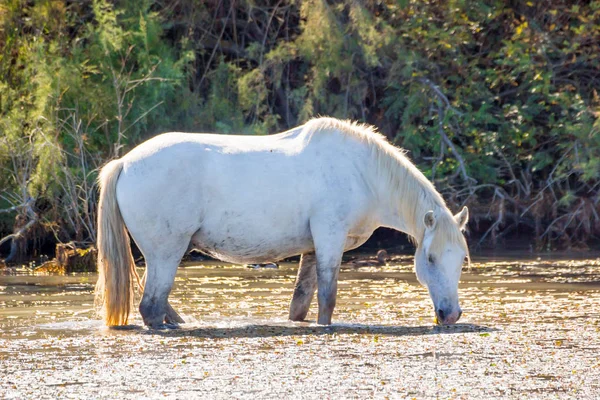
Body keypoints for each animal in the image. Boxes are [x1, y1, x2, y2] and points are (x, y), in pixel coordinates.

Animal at [95, 118, 468, 328]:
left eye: (461, 260)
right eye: (430, 258)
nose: (451, 315)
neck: (362, 171)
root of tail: (124, 163)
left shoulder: (313, 249)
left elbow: (300, 303)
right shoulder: (330, 240)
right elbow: (327, 298)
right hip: (166, 254)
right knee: (150, 307)